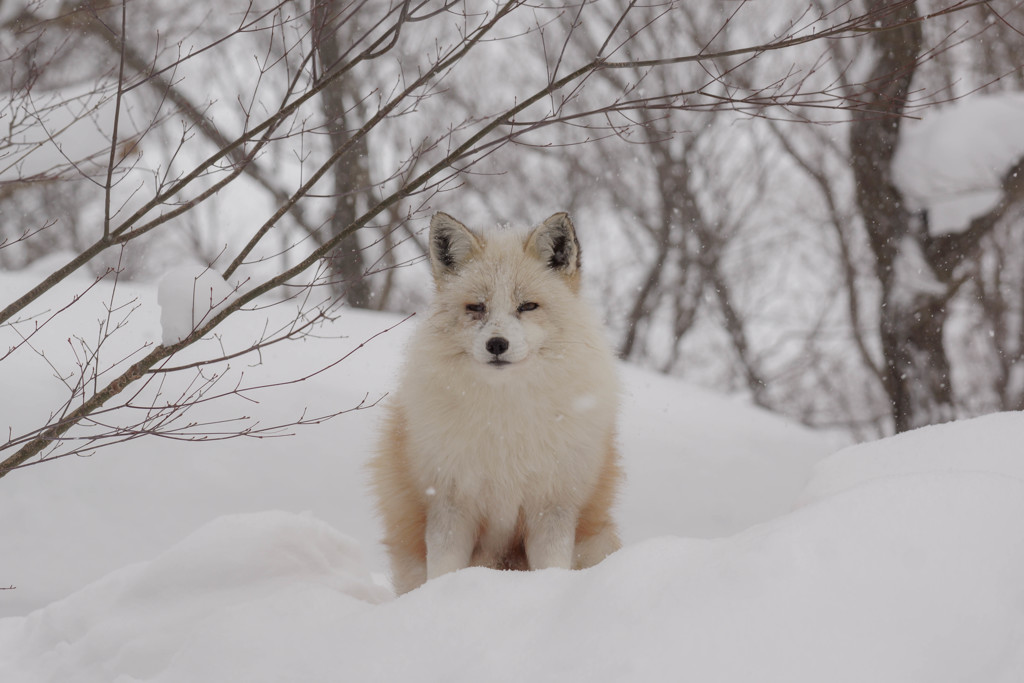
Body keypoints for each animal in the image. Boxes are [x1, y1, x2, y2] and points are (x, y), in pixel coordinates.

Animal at [370, 210, 622, 593]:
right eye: (477, 307)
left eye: (527, 306)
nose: (497, 344)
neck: (505, 425)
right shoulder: (449, 504)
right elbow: (443, 572)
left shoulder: (554, 506)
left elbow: (553, 567)